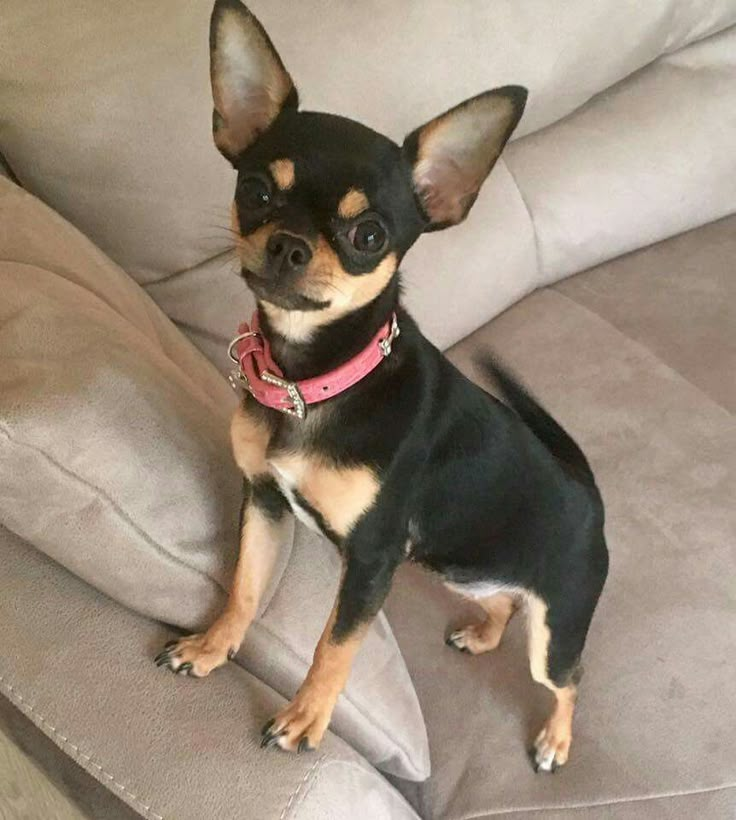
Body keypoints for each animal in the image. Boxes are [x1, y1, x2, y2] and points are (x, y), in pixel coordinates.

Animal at [152, 0, 608, 772]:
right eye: (255, 191)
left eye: (368, 235)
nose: (287, 244)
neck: (314, 383)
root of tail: (589, 493)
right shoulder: (265, 503)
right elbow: (244, 589)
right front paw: (212, 648)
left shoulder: (370, 563)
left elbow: (334, 647)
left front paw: (305, 720)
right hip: (460, 563)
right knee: (503, 601)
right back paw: (482, 632)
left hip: (555, 624)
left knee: (568, 678)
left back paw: (555, 739)